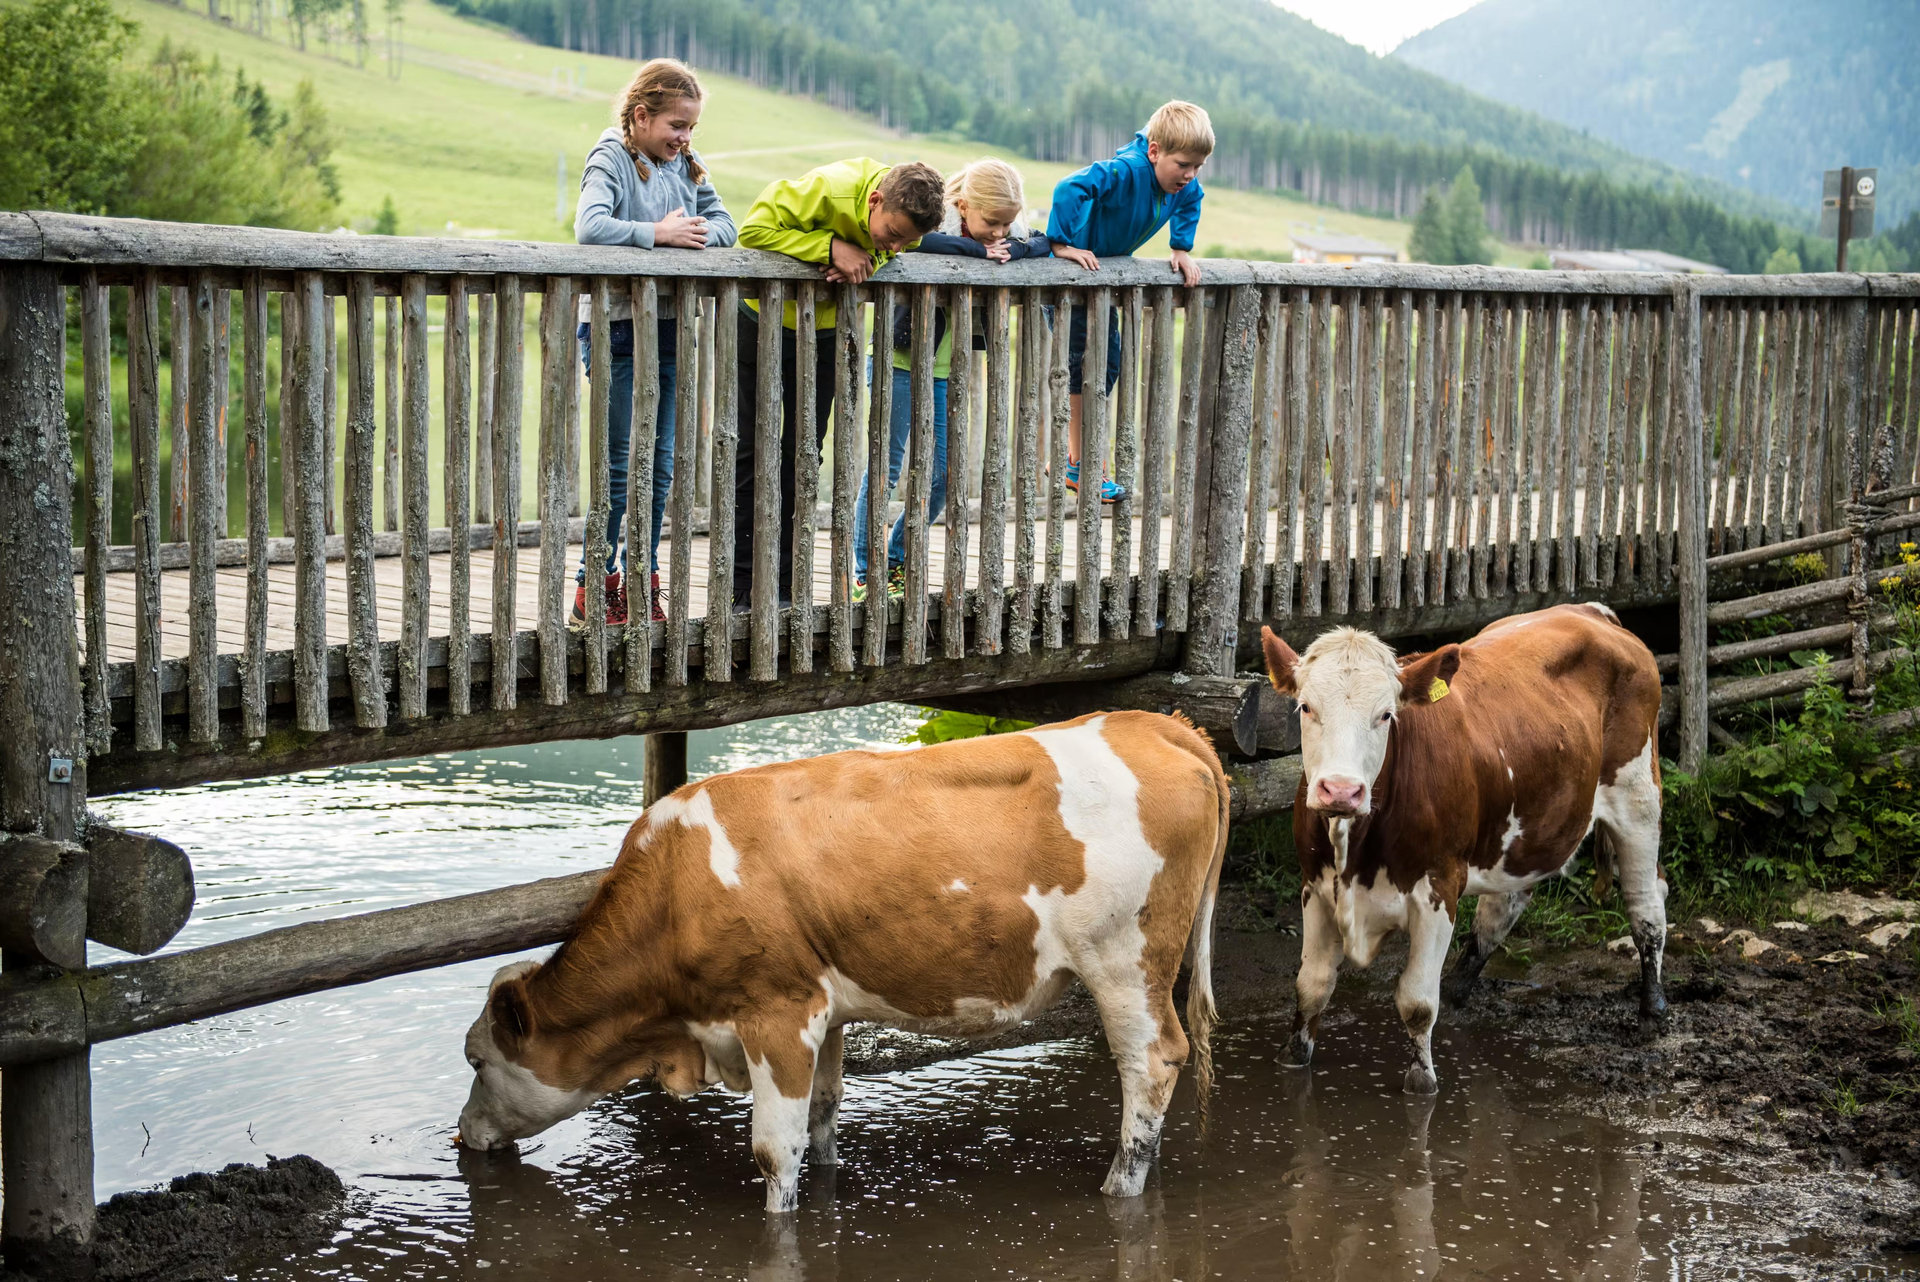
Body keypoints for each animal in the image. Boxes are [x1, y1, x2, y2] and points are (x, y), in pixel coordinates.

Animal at [456, 710, 1231, 1212]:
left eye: (476, 1060)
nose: (463, 1135)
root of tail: (1156, 724)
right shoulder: (823, 1011)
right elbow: (822, 1118)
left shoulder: (776, 1009)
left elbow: (773, 1151)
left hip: (1124, 959)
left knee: (1152, 1061)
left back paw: (1120, 1187)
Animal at [1258, 602, 1667, 1096]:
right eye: (1305, 706)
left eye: (1386, 715)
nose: (1340, 790)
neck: (1354, 851)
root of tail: (1592, 612)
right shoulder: (1315, 887)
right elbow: (1310, 987)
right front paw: (1292, 1059)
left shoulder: (1438, 890)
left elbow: (1416, 1001)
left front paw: (1423, 1082)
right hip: (1526, 826)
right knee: (1501, 910)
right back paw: (1457, 993)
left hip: (1638, 795)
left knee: (1646, 906)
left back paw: (1652, 1012)